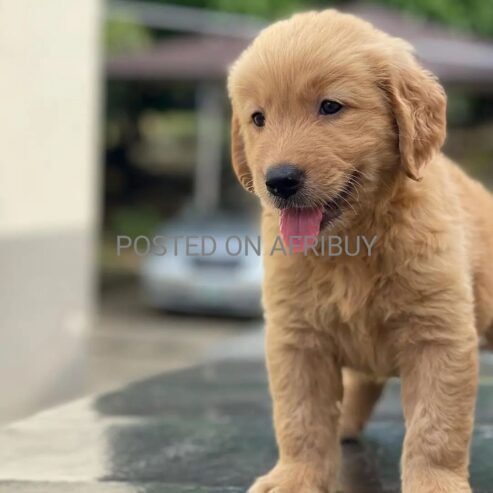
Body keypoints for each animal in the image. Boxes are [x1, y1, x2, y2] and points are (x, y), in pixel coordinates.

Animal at [228, 7, 493, 492]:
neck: (352, 242)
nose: (279, 180)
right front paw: (296, 475)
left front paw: (435, 482)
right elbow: (300, 418)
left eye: (330, 107)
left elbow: (436, 427)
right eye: (258, 118)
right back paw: (345, 424)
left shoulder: (439, 335)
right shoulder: (298, 339)